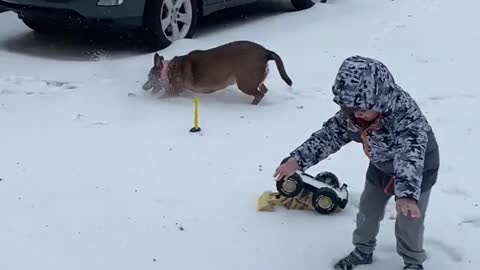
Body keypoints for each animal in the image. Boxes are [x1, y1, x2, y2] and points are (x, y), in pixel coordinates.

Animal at [142, 40, 292, 104]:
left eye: (149, 77)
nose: (143, 87)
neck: (169, 70)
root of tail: (266, 52)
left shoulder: (174, 90)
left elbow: (163, 95)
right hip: (255, 80)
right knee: (264, 90)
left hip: (245, 83)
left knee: (260, 94)